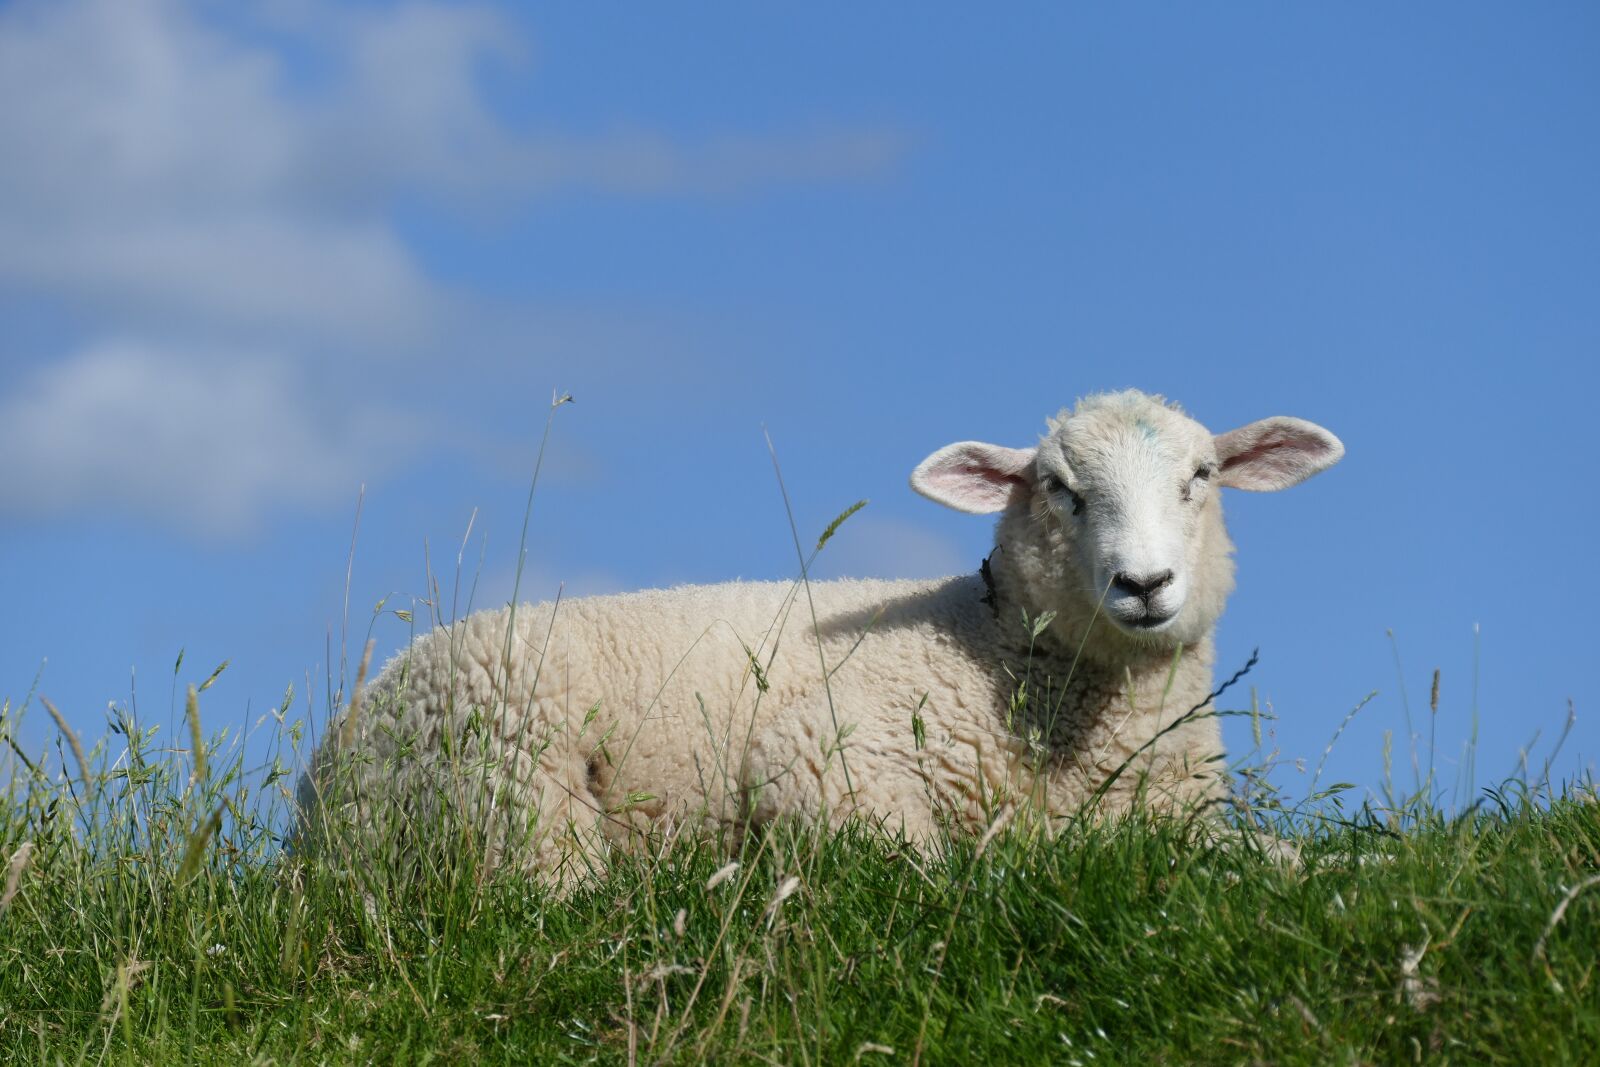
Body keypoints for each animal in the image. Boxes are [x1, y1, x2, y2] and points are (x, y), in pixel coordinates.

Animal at [297, 390, 1343, 881]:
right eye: (1060, 488)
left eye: (1202, 476)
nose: (1144, 583)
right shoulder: (820, 752)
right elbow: (935, 861)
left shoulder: (1181, 816)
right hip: (508, 776)